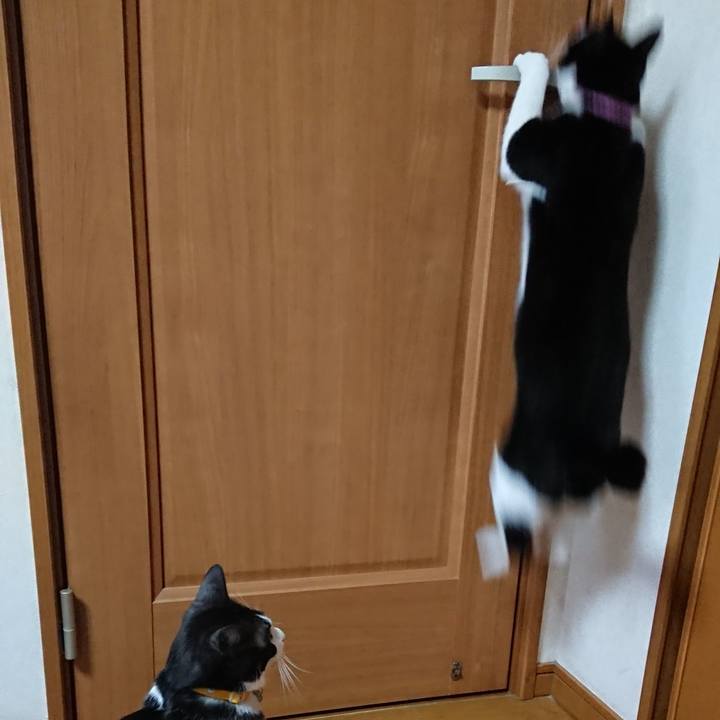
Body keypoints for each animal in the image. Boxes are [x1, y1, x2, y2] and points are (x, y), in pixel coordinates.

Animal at [477, 21, 660, 579]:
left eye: (587, 33)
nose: (576, 25)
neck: (610, 116)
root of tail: (596, 459)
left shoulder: (527, 148)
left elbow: (524, 118)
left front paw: (532, 64)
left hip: (508, 466)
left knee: (518, 532)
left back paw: (491, 550)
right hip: (574, 499)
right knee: (557, 529)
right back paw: (555, 552)